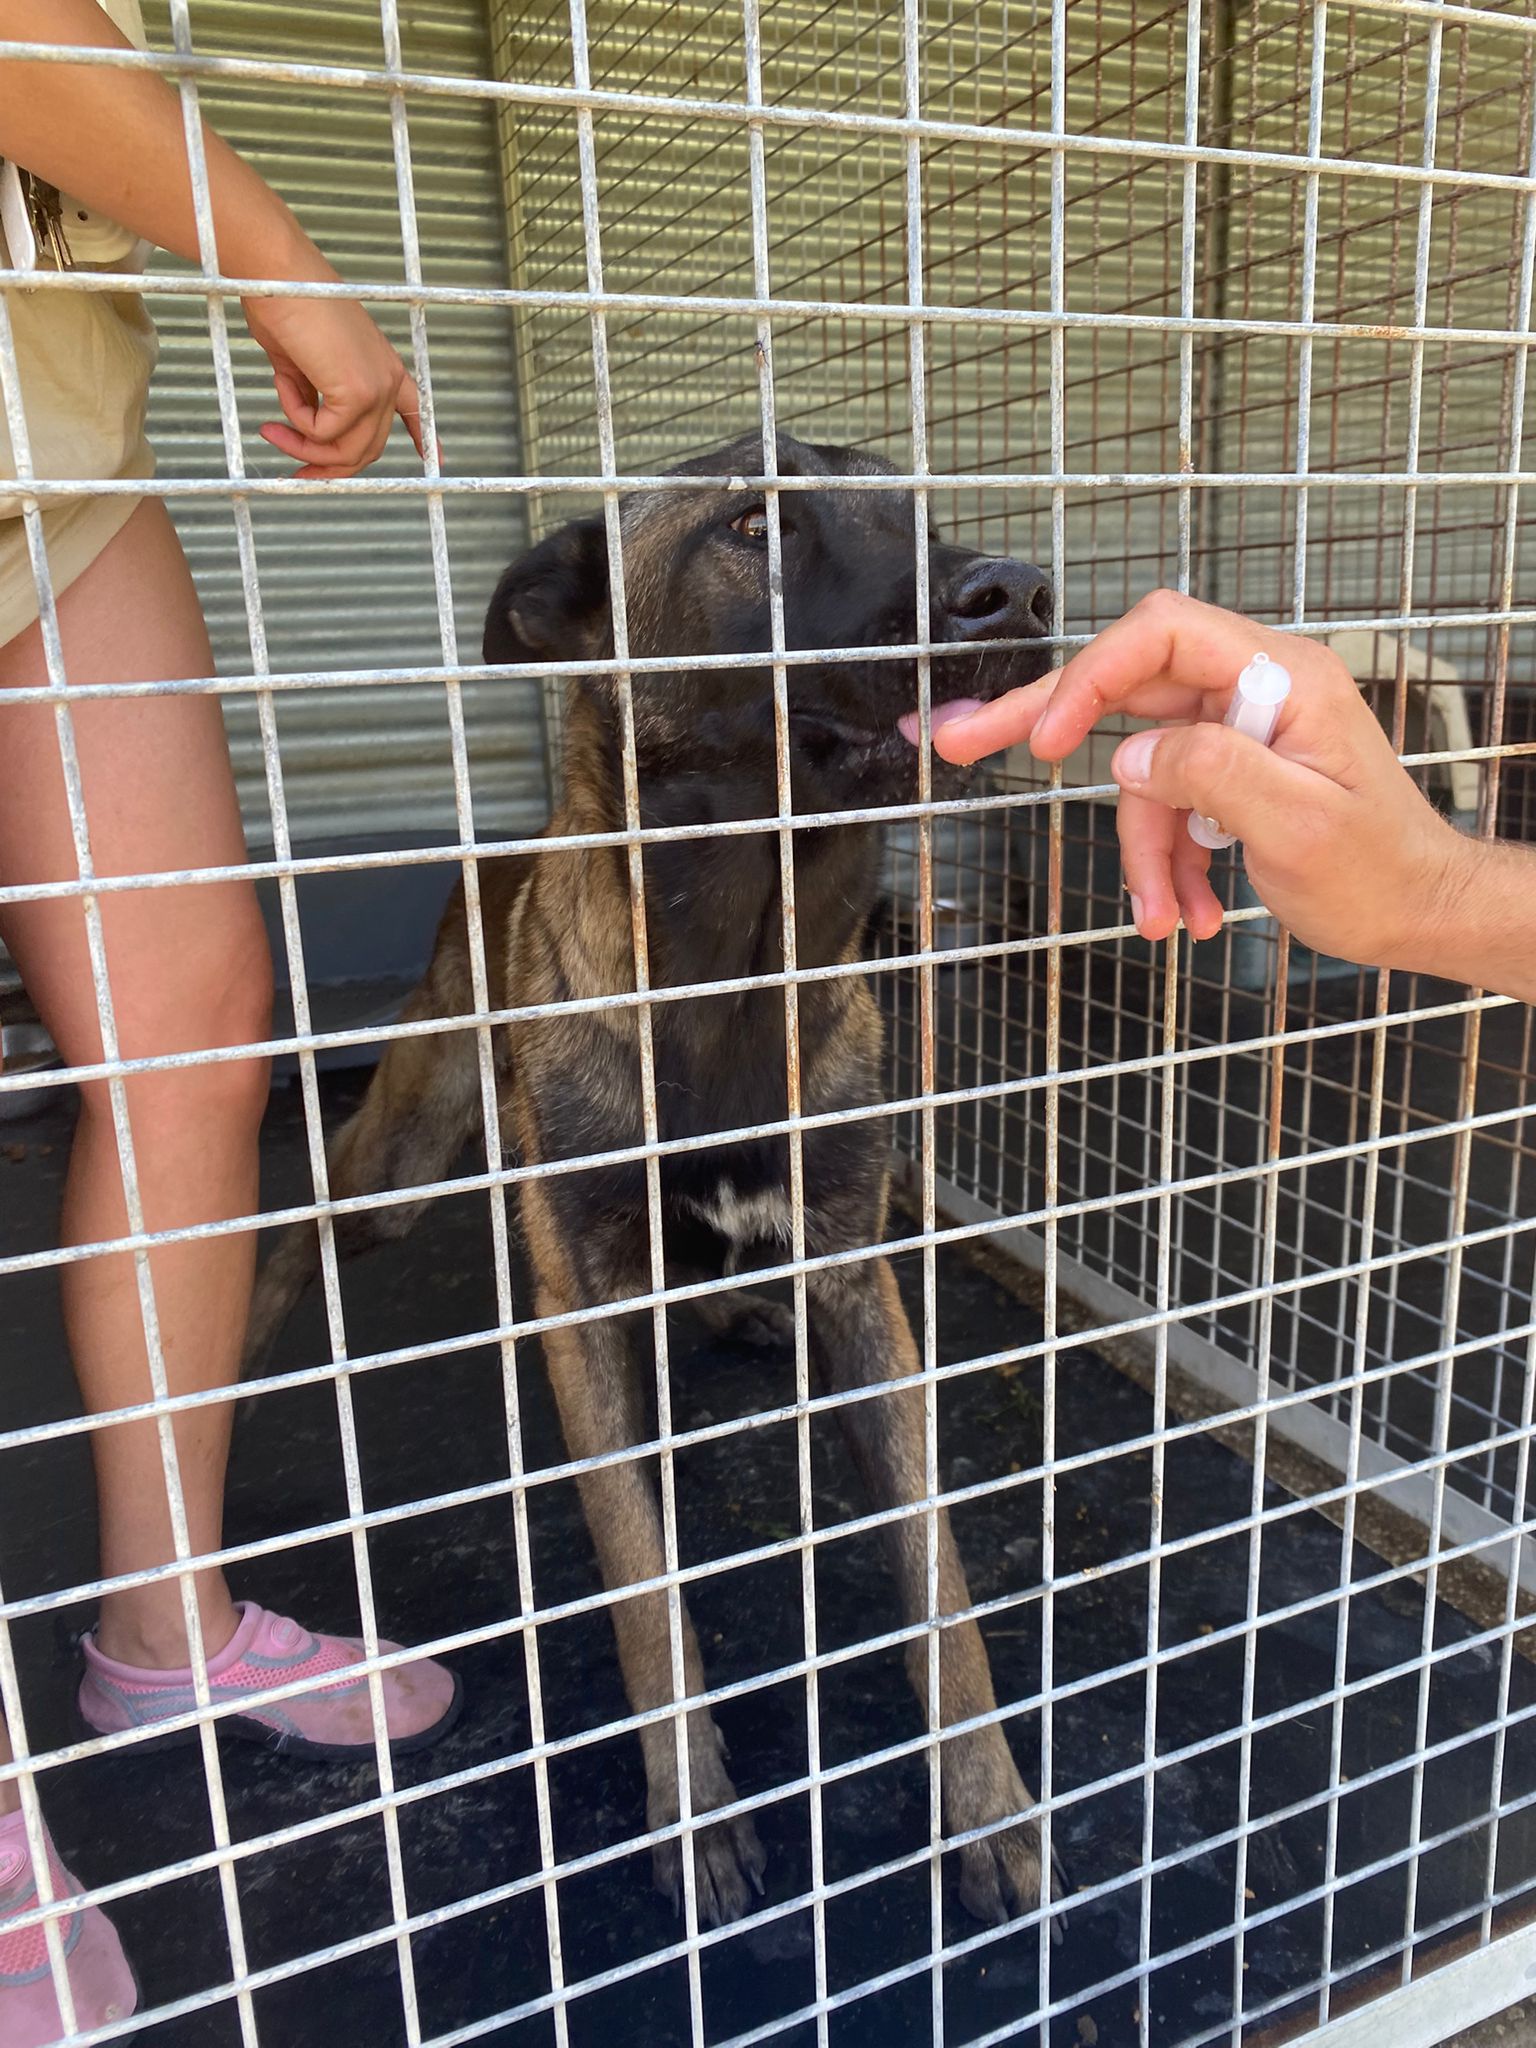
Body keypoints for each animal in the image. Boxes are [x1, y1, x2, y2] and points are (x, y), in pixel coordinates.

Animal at [245, 431, 1056, 1928]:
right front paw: (698, 1813)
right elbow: (639, 1578)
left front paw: (990, 1803)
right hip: (403, 1161)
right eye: (754, 524)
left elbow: (941, 1574)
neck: (737, 967)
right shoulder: (580, 1305)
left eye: (919, 510)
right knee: (302, 1232)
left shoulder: (856, 1273)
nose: (1020, 592)